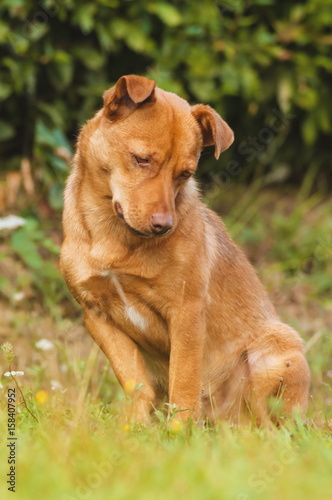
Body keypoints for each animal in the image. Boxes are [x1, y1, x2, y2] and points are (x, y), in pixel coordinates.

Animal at [60, 74, 312, 424]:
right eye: (141, 159)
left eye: (185, 174)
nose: (164, 225)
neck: (116, 240)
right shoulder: (97, 316)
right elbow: (136, 383)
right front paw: (134, 426)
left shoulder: (186, 314)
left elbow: (184, 383)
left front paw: (179, 430)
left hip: (277, 350)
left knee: (273, 425)